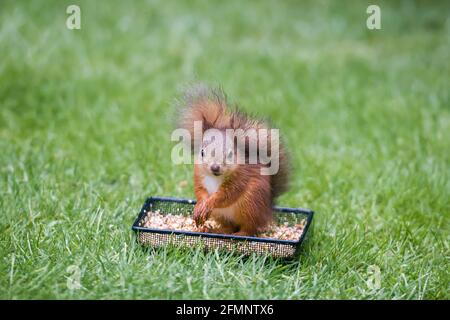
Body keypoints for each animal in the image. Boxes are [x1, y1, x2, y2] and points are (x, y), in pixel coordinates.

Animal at [176, 86, 288, 236]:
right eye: (202, 152)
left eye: (230, 154)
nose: (215, 167)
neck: (215, 177)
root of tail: (267, 211)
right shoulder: (199, 175)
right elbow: (200, 191)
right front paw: (200, 206)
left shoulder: (240, 178)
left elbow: (226, 195)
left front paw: (209, 203)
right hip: (221, 214)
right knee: (229, 226)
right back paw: (214, 229)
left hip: (250, 205)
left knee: (250, 227)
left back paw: (240, 234)